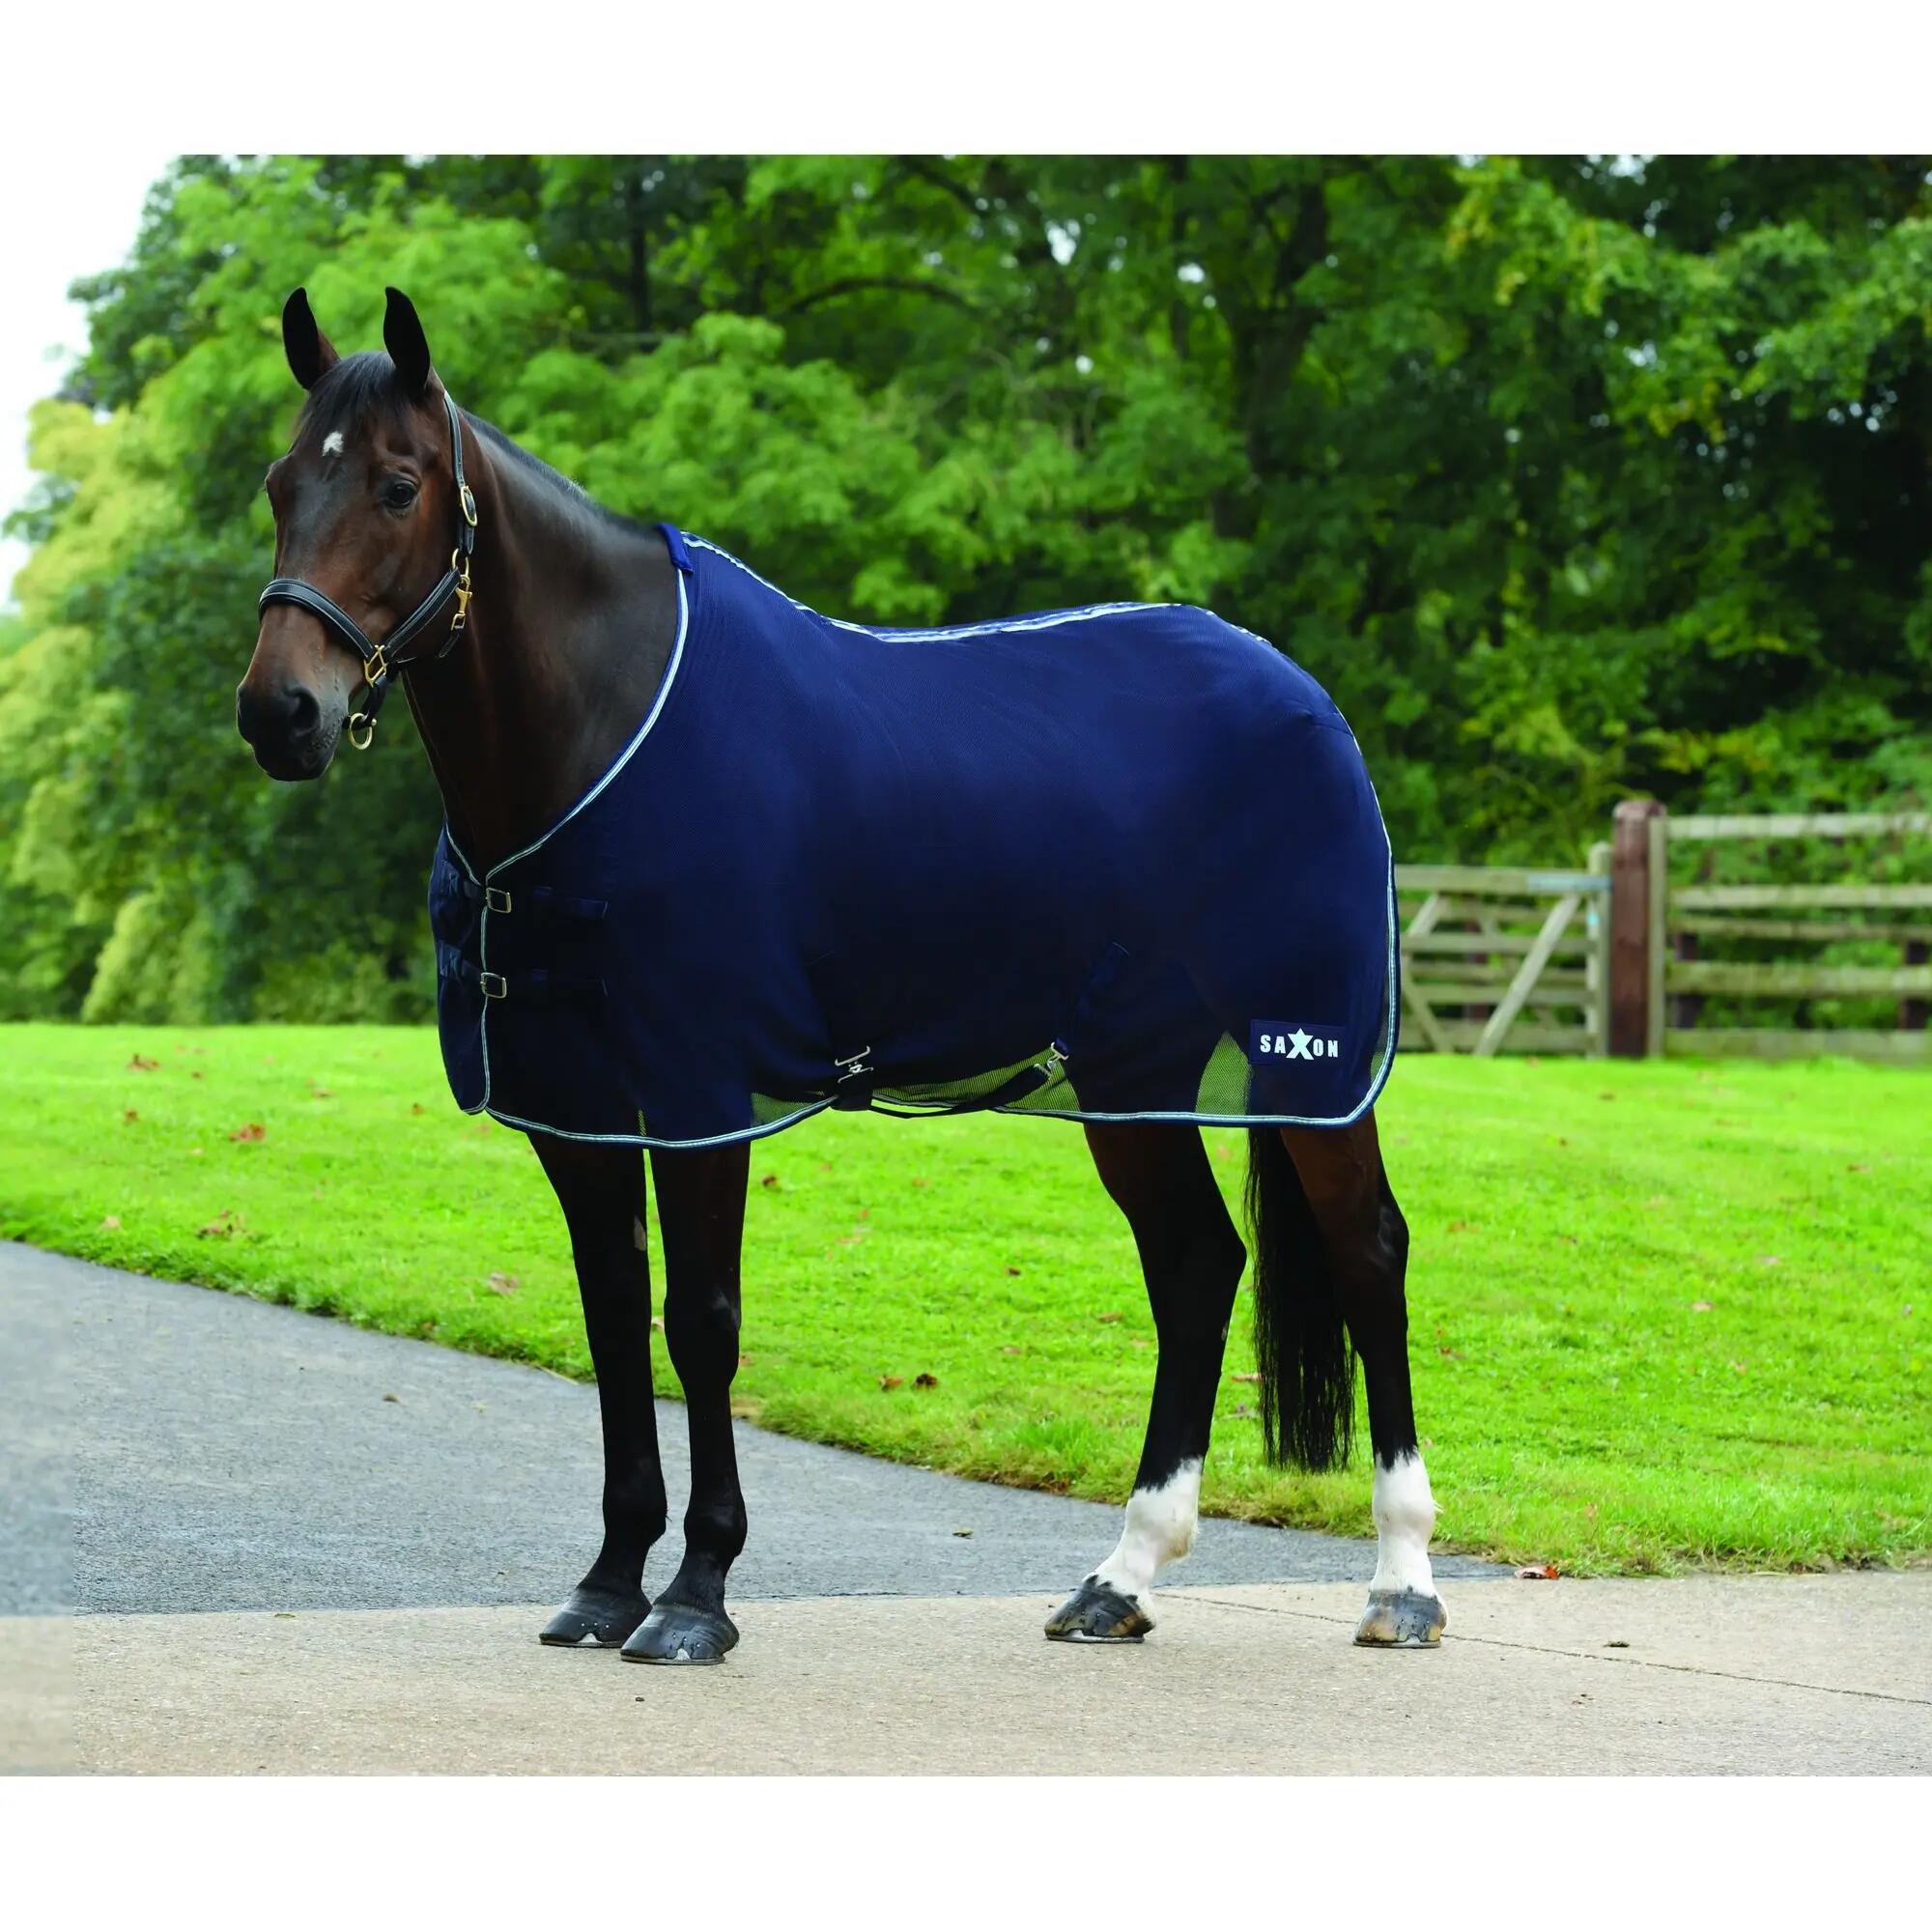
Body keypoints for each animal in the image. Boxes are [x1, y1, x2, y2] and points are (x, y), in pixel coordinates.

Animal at [237, 287, 1445, 1665]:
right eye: (281, 482)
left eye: (397, 485)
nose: (280, 712)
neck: (604, 729)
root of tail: (1303, 697)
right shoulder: (579, 1108)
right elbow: (611, 1319)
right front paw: (606, 1582)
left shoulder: (701, 1093)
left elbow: (699, 1321)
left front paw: (696, 1594)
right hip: (1129, 1075)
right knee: (1193, 1264)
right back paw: (1119, 1575)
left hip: (1310, 1065)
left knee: (1366, 1252)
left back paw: (1402, 1580)